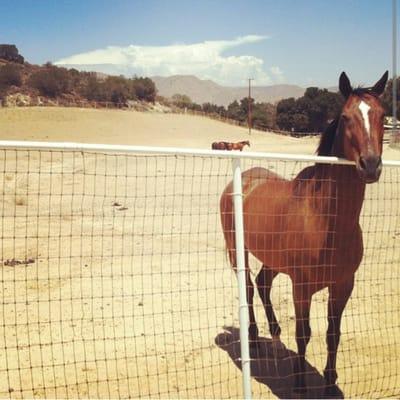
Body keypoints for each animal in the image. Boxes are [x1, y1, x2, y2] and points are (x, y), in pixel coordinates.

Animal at [220, 72, 390, 394]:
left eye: (383, 115)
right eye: (346, 117)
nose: (371, 165)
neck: (328, 221)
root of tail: (242, 180)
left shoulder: (343, 286)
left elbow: (333, 334)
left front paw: (330, 382)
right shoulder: (301, 287)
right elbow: (303, 334)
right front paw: (299, 385)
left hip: (272, 259)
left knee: (262, 284)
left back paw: (275, 338)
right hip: (238, 251)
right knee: (248, 287)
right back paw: (254, 337)